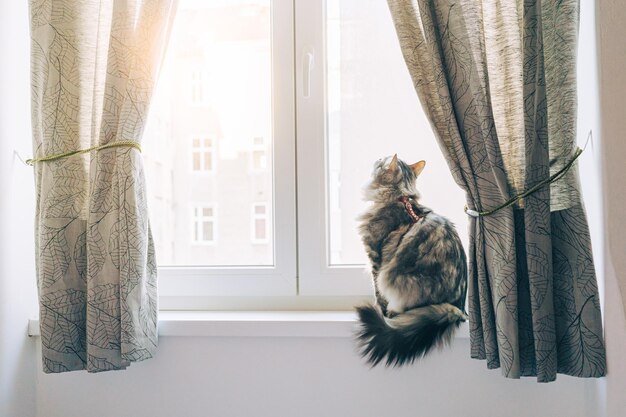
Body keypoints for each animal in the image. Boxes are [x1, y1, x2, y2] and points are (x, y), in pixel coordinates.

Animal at [354, 154, 466, 366]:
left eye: (381, 160)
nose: (377, 156)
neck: (398, 198)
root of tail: (458, 308)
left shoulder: (376, 259)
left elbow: (378, 293)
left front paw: (380, 311)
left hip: (395, 278)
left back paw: (392, 314)